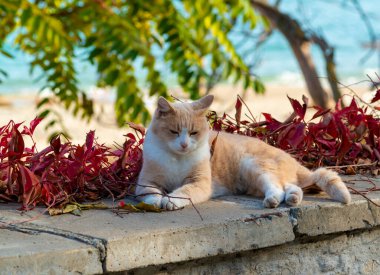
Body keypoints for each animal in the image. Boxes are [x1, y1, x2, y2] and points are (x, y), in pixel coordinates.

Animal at [135, 96, 352, 210]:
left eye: (193, 133)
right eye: (174, 132)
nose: (184, 144)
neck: (177, 158)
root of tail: (291, 158)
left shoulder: (199, 183)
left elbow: (184, 191)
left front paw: (170, 200)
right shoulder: (146, 181)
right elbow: (150, 192)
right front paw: (157, 200)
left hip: (253, 165)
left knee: (277, 188)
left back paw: (274, 200)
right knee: (290, 187)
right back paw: (292, 198)